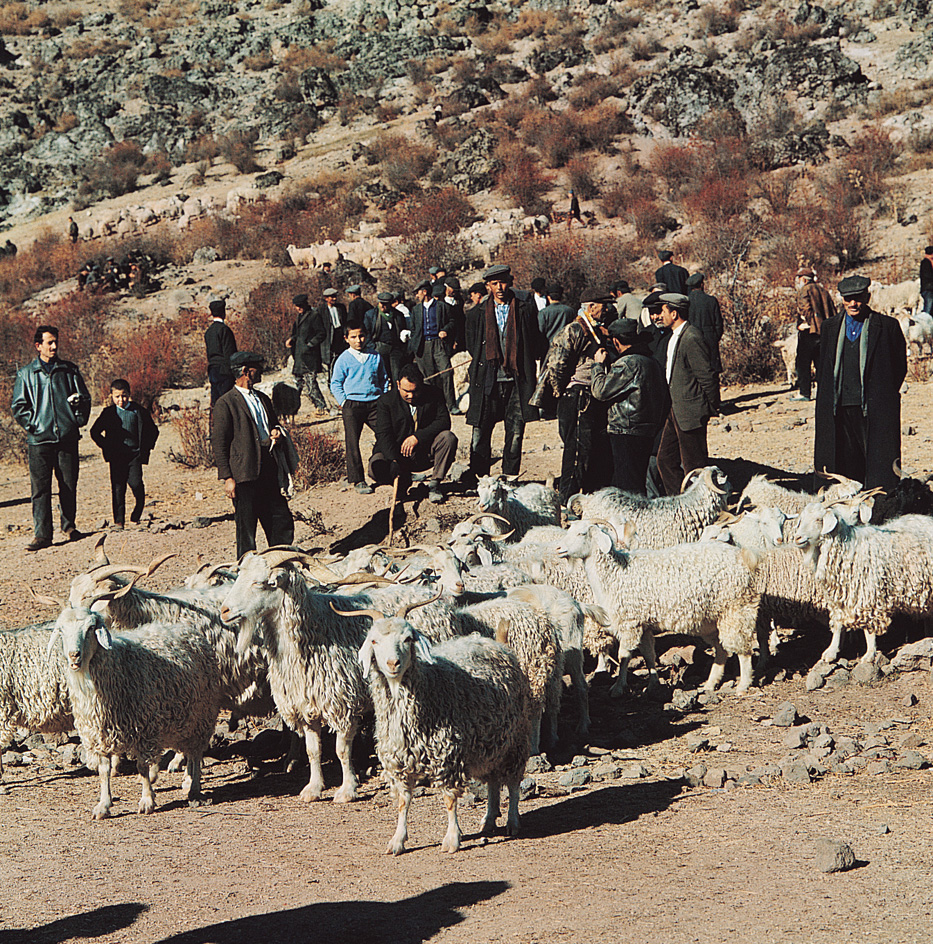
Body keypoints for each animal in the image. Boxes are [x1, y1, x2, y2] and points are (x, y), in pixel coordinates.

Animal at [354, 612, 532, 856]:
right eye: (374, 641)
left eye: (408, 638)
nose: (393, 663)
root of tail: (498, 644)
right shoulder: (399, 763)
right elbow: (403, 802)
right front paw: (397, 840)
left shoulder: (448, 757)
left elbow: (449, 801)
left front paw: (452, 839)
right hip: (489, 745)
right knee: (493, 782)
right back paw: (488, 820)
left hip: (516, 740)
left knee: (513, 783)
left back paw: (512, 822)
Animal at [556, 520, 760, 696]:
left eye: (582, 533)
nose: (558, 548)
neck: (616, 573)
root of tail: (744, 558)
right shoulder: (643, 624)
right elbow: (648, 655)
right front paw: (653, 684)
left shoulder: (630, 622)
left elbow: (624, 656)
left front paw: (618, 687)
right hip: (710, 621)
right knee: (721, 649)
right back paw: (710, 684)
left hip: (735, 610)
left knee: (743, 649)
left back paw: (743, 685)